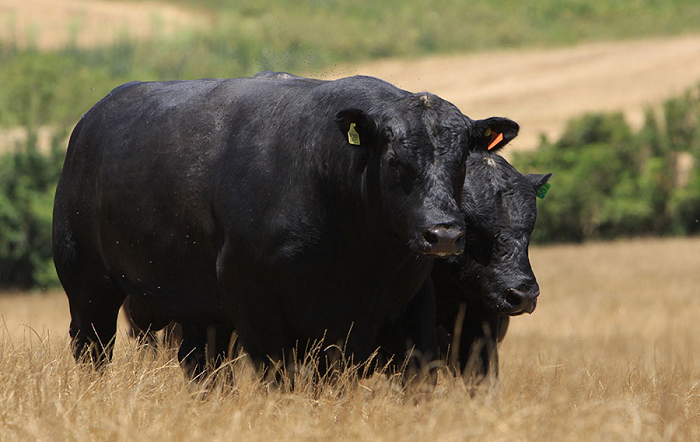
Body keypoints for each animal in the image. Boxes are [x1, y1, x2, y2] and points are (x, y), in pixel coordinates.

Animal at [52, 73, 519, 379]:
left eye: (461, 161)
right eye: (394, 161)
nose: (444, 234)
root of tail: (90, 121)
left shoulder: (406, 306)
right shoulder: (256, 301)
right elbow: (281, 374)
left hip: (196, 309)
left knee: (202, 366)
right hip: (88, 289)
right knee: (92, 351)